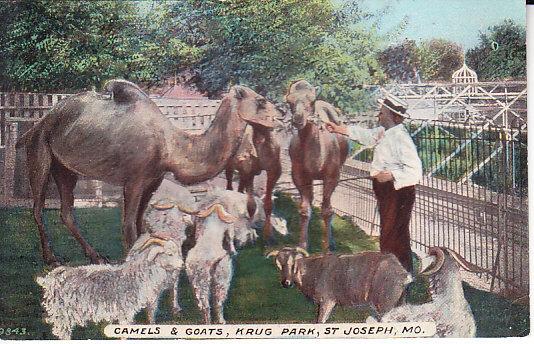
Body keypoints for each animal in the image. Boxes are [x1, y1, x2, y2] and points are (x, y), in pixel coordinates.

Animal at [16, 79, 276, 264]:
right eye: (261, 100)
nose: (280, 115)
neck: (171, 146)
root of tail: (41, 121)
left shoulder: (153, 179)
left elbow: (141, 223)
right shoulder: (134, 179)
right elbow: (129, 224)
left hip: (64, 168)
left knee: (67, 212)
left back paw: (96, 256)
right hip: (39, 151)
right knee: (37, 208)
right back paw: (51, 259)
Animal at [36, 231, 184, 338]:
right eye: (169, 253)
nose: (182, 265)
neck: (138, 275)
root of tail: (51, 278)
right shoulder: (125, 312)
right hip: (63, 315)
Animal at [268, 247, 414, 322]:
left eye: (293, 264)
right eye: (278, 264)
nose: (285, 283)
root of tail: (404, 274)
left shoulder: (327, 301)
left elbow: (320, 321)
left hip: (385, 303)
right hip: (398, 301)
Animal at [284, 80, 352, 253]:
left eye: (312, 101)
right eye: (289, 101)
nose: (298, 119)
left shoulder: (332, 175)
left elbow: (327, 210)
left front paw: (328, 248)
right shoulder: (299, 175)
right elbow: (304, 209)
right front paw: (302, 246)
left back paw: (332, 242)